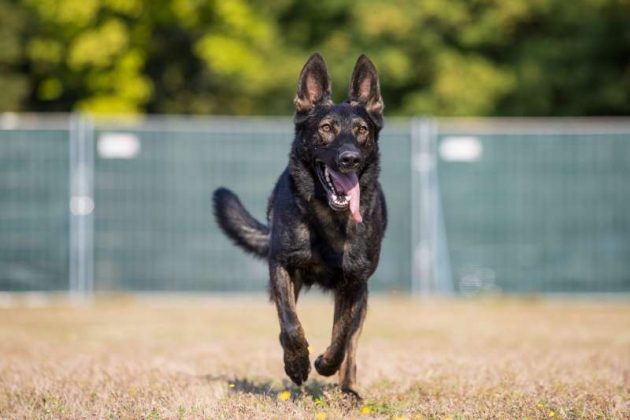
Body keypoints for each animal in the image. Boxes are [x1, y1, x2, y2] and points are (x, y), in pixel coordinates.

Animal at [215, 54, 388, 398]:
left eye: (362, 130)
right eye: (326, 128)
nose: (349, 158)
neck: (328, 219)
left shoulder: (353, 283)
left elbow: (341, 337)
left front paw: (325, 364)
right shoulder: (282, 265)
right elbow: (291, 325)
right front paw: (297, 364)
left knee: (352, 345)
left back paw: (348, 390)